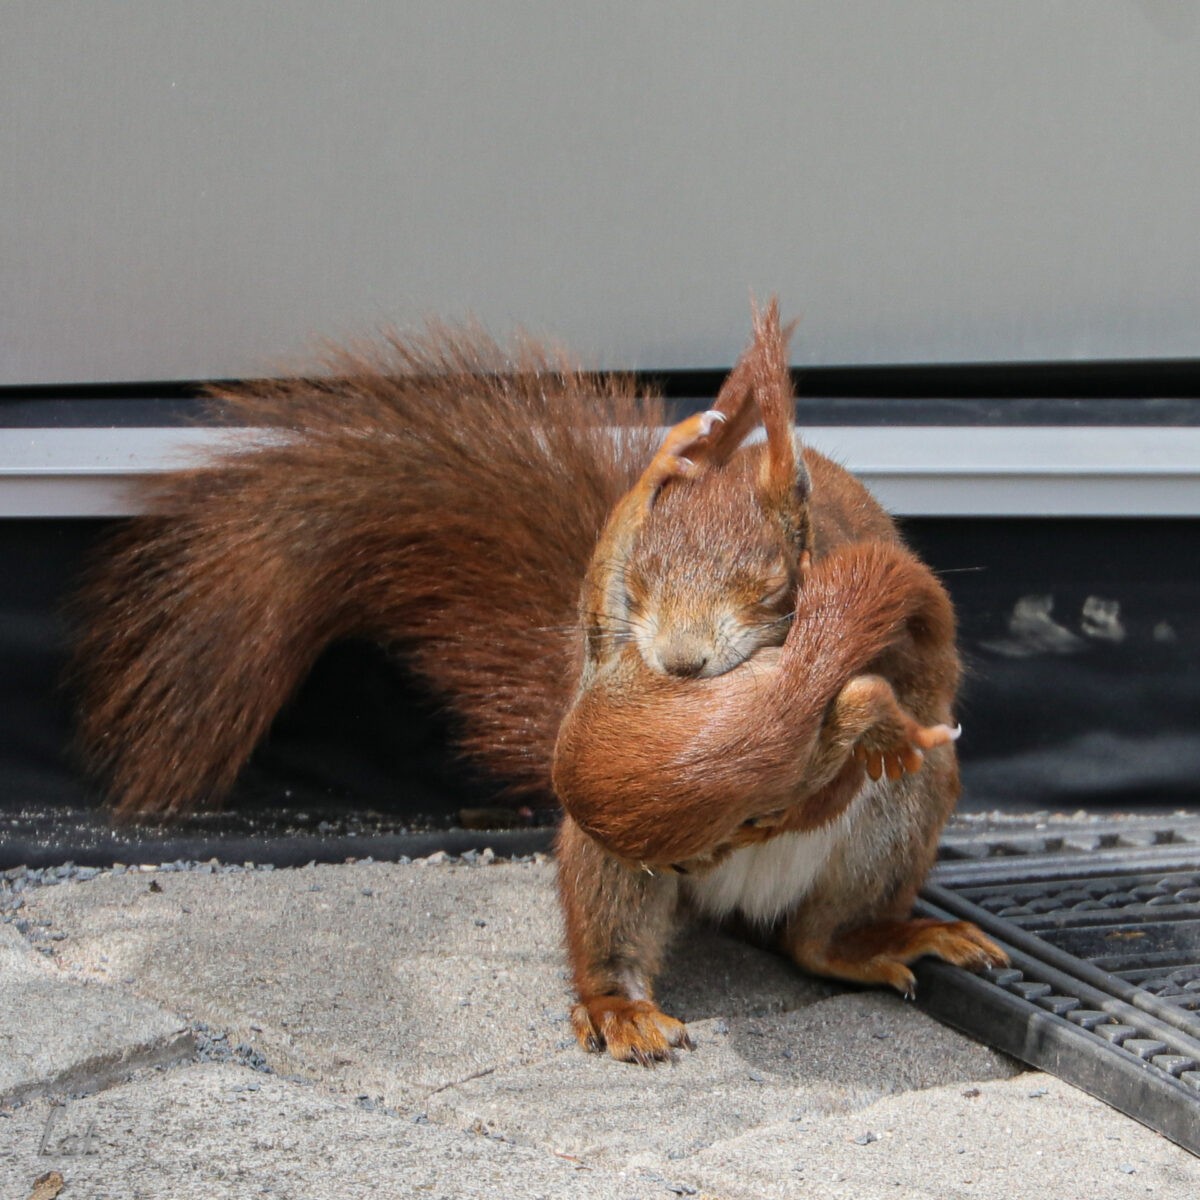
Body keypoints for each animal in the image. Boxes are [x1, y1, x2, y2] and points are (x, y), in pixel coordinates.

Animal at [70, 304, 998, 1065]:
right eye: (642, 580)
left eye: (770, 579)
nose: (681, 665)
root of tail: (740, 902)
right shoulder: (606, 641)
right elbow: (603, 608)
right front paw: (663, 462)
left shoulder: (904, 629)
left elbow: (910, 694)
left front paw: (853, 747)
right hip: (602, 852)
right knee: (622, 939)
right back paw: (620, 1006)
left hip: (903, 822)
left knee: (814, 940)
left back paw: (878, 934)